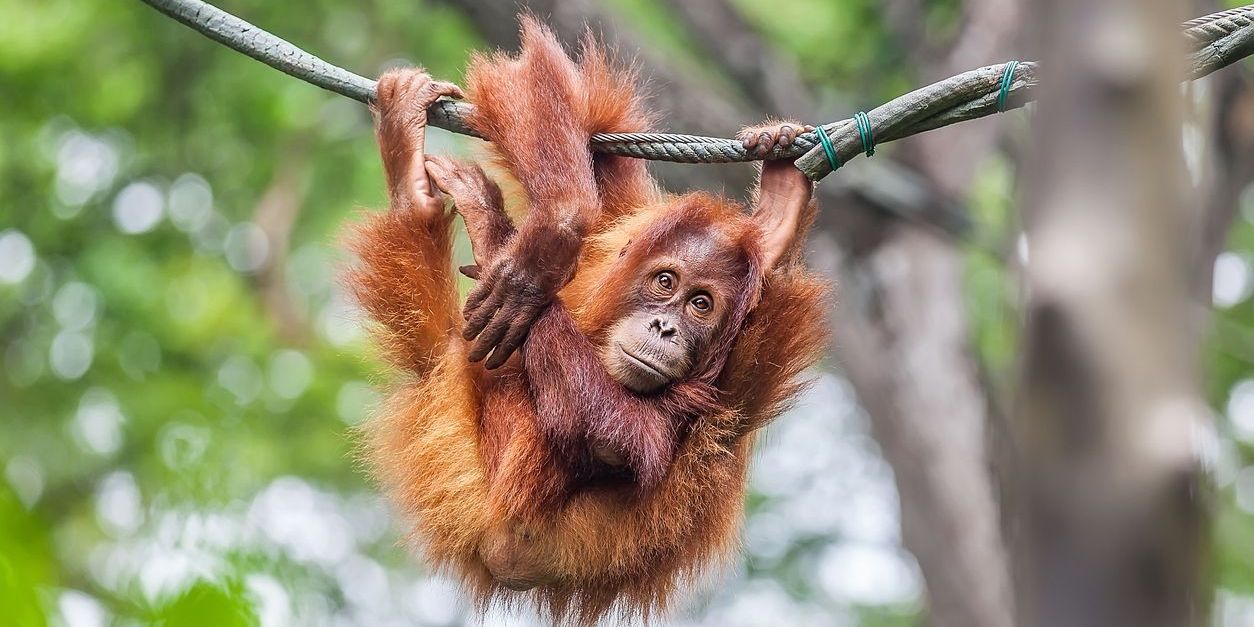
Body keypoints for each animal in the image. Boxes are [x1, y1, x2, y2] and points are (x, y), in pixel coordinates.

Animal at [348, 18, 829, 624]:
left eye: (701, 305)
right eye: (666, 283)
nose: (666, 329)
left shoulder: (719, 385)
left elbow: (626, 438)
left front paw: (510, 248)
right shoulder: (628, 220)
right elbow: (548, 96)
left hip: (473, 478)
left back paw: (434, 206)